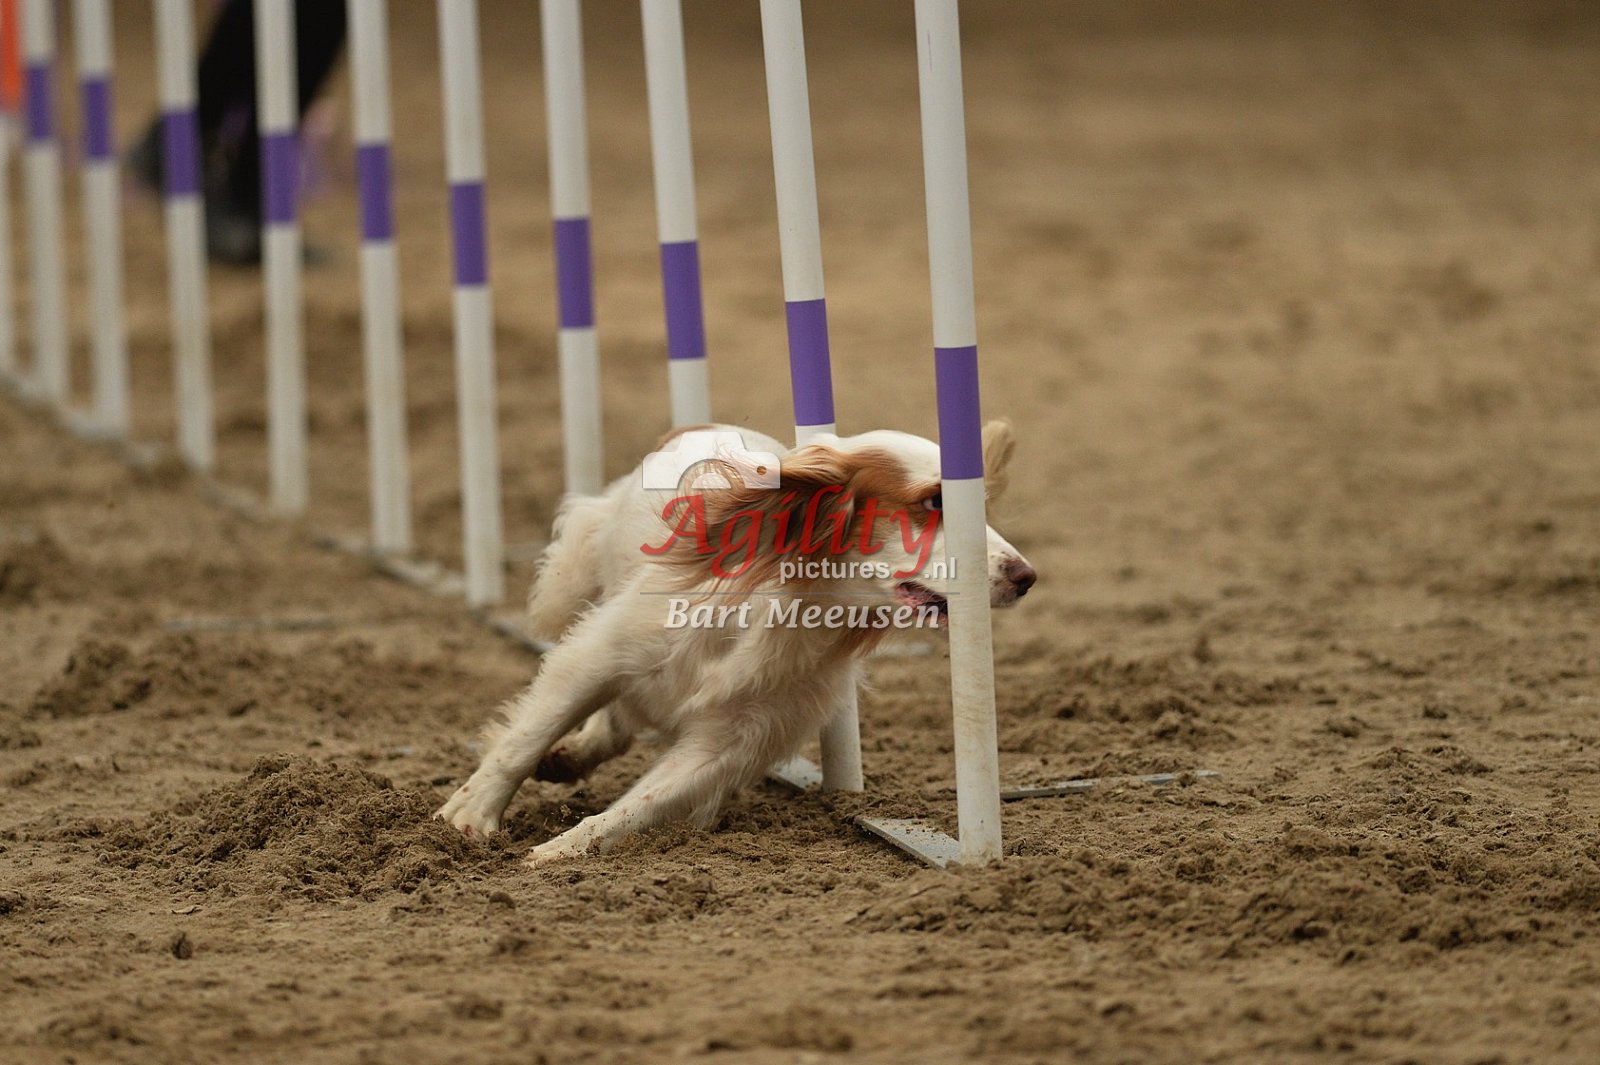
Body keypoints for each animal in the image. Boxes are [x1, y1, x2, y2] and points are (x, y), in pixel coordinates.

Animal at [436, 421, 1036, 864]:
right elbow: (522, 742)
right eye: (934, 502)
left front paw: (559, 853)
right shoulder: (600, 656)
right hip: (575, 576)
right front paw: (467, 820)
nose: (1027, 577)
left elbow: (637, 806)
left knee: (619, 725)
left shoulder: (731, 739)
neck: (786, 602)